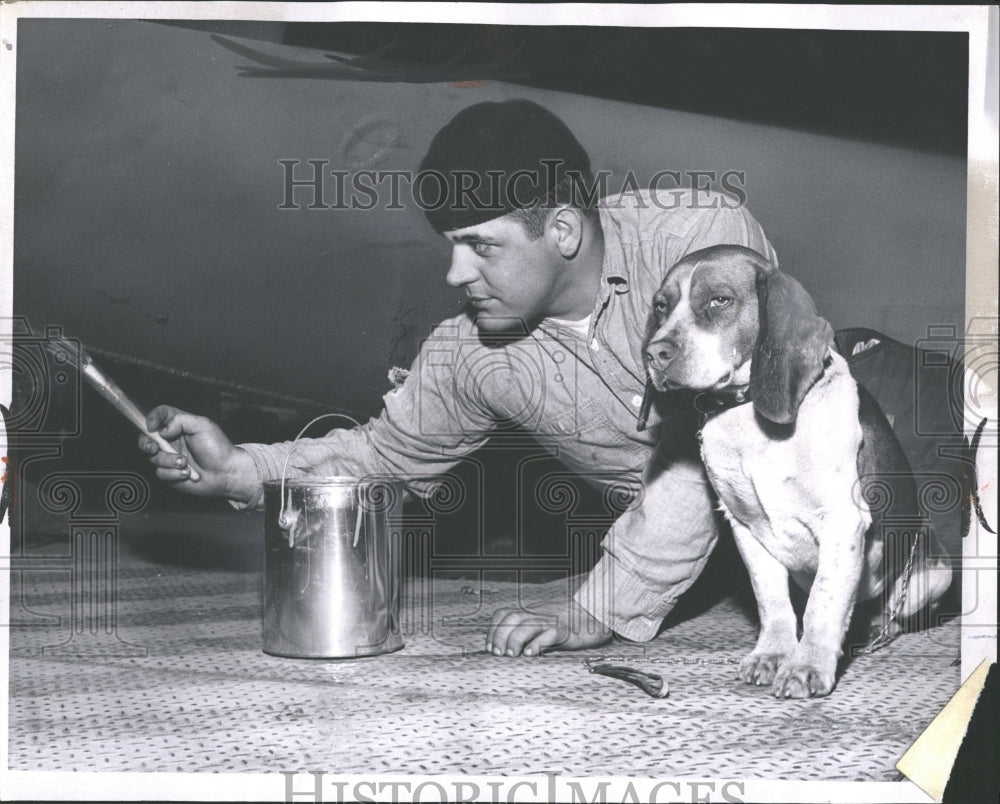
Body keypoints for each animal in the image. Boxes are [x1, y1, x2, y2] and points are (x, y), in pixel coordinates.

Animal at [644, 243, 948, 696]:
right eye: (661, 306)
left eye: (719, 300)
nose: (655, 353)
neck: (747, 420)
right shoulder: (746, 527)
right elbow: (772, 602)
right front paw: (773, 654)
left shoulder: (842, 522)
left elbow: (823, 603)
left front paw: (807, 665)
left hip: (933, 573)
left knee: (890, 614)